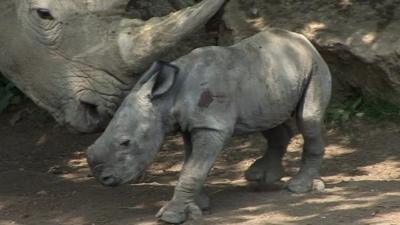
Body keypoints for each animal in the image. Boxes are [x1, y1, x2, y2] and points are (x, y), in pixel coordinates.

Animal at [86, 28, 332, 223]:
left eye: (125, 143)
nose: (104, 180)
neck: (167, 98)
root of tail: (304, 40)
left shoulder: (211, 126)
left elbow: (193, 170)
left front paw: (172, 216)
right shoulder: (190, 125)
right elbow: (190, 164)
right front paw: (199, 204)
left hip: (314, 68)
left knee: (308, 120)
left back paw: (298, 187)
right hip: (270, 78)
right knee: (268, 121)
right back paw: (261, 176)